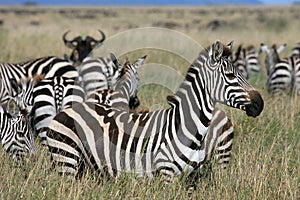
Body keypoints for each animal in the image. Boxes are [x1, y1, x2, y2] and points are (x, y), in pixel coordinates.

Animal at [45, 39, 264, 188]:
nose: (260, 103)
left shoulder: (191, 179)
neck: (183, 127)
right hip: (66, 159)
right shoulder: (166, 175)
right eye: (230, 75)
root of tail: (66, 110)